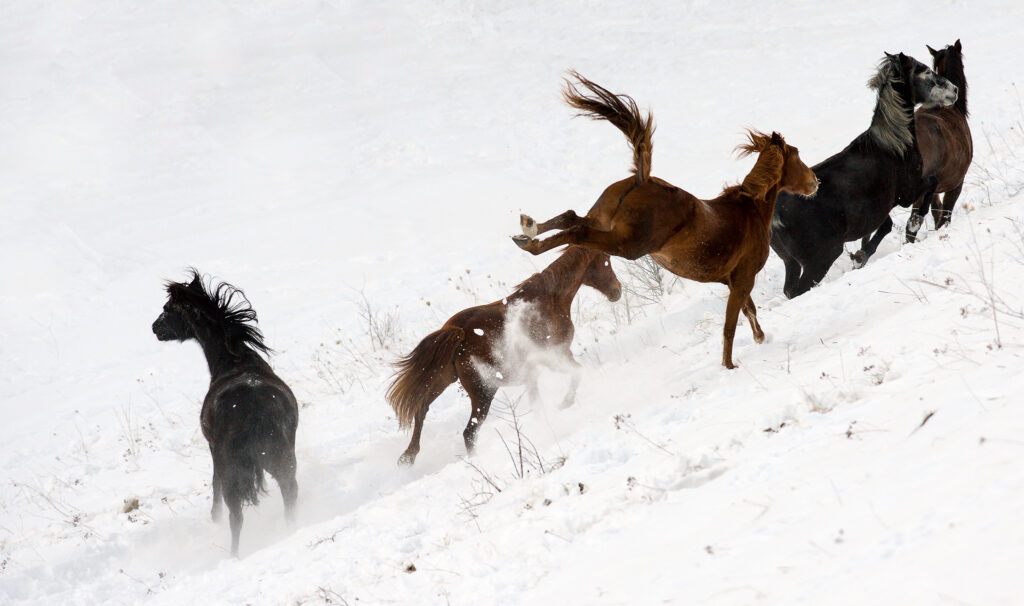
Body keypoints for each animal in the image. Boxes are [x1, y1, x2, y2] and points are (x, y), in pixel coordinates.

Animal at [152, 270, 298, 557]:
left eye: (167, 309)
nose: (155, 328)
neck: (235, 362)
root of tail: (255, 410)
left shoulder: (213, 450)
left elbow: (215, 482)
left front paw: (214, 516)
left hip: (236, 466)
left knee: (236, 516)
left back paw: (233, 555)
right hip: (282, 458)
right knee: (290, 494)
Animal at [386, 245, 621, 465]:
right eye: (606, 259)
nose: (617, 291)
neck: (550, 299)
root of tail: (457, 332)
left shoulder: (534, 373)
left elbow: (538, 405)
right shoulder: (556, 355)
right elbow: (577, 373)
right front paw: (564, 404)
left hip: (442, 379)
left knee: (421, 410)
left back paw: (408, 457)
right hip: (484, 392)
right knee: (469, 432)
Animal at [512, 72, 817, 369]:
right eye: (797, 154)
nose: (815, 182)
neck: (750, 209)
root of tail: (642, 179)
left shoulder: (733, 281)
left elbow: (749, 311)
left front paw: (759, 339)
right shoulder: (743, 279)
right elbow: (731, 325)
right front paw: (730, 365)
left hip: (603, 224)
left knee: (570, 218)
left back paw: (527, 231)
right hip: (627, 245)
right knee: (576, 233)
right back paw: (531, 244)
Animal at [770, 52, 959, 298]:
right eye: (925, 70)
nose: (954, 90)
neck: (895, 146)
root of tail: (776, 216)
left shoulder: (879, 211)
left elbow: (885, 227)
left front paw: (860, 257)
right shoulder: (908, 192)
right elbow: (930, 186)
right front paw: (914, 224)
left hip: (790, 261)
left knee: (789, 289)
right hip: (820, 259)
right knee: (798, 290)